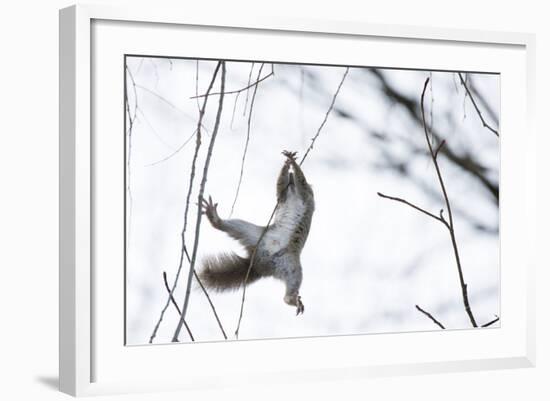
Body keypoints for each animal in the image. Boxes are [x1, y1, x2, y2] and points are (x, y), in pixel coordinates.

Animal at [201, 149, 316, 312]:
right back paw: (215, 218)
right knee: (226, 226)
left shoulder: (306, 194)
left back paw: (291, 299)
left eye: (292, 179)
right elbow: (280, 186)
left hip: (291, 267)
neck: (293, 193)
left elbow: (302, 182)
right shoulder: (282, 196)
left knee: (292, 284)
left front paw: (292, 163)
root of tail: (258, 265)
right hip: (251, 234)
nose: (290, 175)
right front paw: (287, 164)